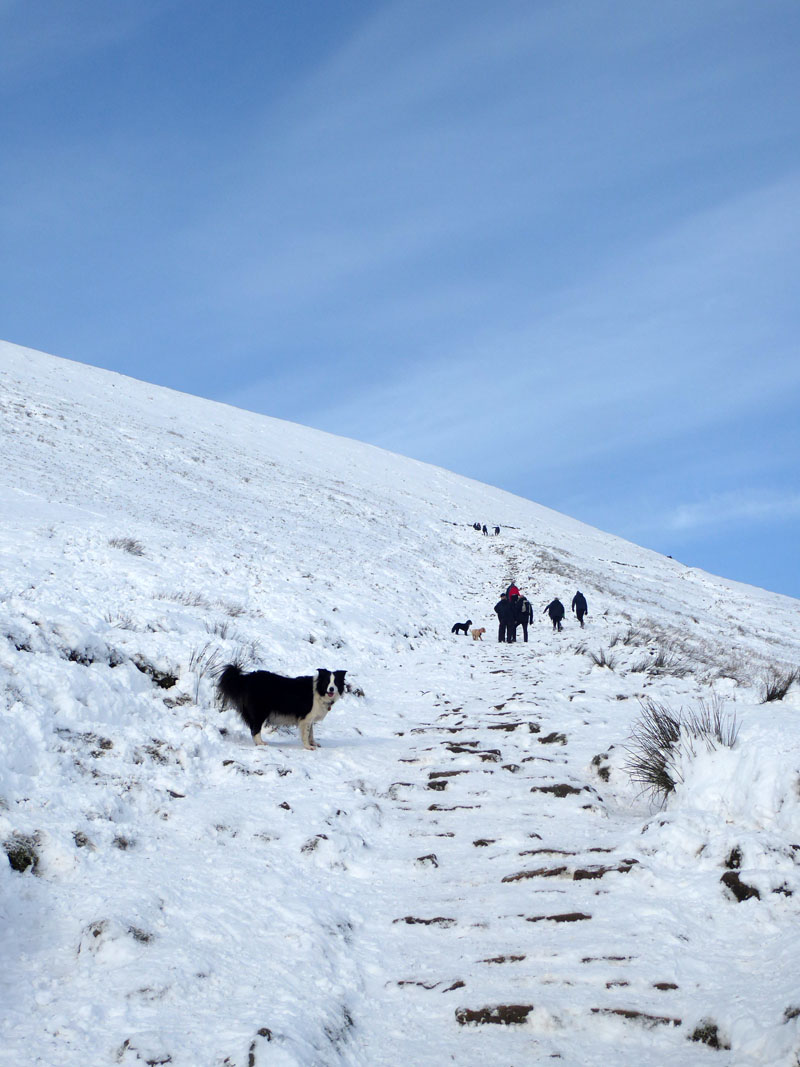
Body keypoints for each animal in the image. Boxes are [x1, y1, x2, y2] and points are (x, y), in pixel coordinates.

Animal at [217, 665, 345, 751]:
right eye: (327, 682)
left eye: (336, 682)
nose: (331, 689)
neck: (319, 691)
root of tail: (246, 678)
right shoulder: (306, 718)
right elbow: (306, 734)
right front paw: (308, 746)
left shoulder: (310, 718)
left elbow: (311, 733)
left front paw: (313, 743)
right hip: (260, 711)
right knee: (255, 729)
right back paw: (261, 743)